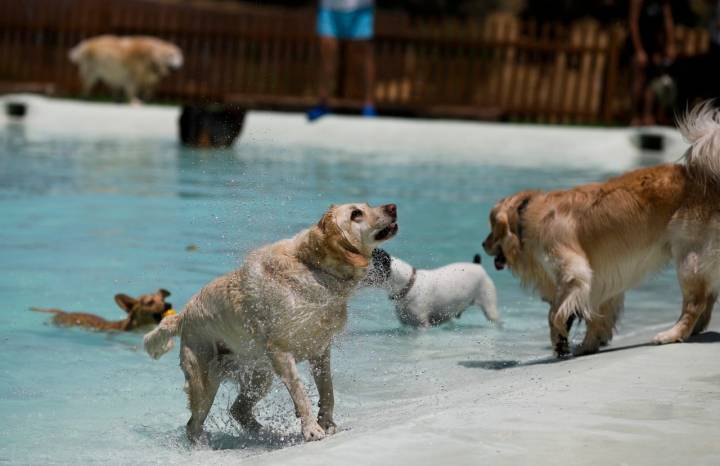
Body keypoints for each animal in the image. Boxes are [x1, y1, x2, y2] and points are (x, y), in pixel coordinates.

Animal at [143, 205, 396, 444]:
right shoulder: (280, 351)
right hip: (204, 382)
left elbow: (328, 390)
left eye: (367, 205)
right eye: (356, 213)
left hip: (259, 376)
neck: (312, 267)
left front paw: (326, 422)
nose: (393, 207)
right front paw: (312, 429)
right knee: (193, 425)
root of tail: (183, 315)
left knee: (238, 410)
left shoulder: (321, 350)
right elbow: (300, 392)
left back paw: (264, 434)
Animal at [484, 103, 720, 356]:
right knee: (708, 297)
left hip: (688, 257)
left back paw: (673, 333)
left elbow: (554, 313)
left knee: (695, 302)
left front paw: (561, 338)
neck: (526, 215)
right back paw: (695, 329)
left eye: (491, 229)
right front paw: (588, 344)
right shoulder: (603, 278)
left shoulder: (574, 271)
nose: (482, 244)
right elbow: (596, 316)